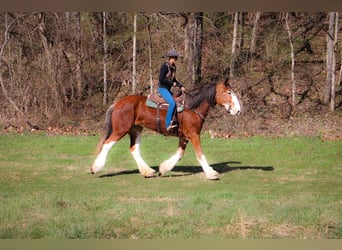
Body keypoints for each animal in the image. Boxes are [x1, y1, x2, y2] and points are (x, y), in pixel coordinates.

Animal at [89, 78, 242, 180]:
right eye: (229, 92)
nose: (238, 110)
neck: (192, 107)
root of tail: (117, 103)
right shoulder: (193, 135)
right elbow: (200, 154)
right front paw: (211, 173)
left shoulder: (184, 136)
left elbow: (179, 154)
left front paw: (163, 168)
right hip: (120, 130)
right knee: (107, 144)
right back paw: (95, 167)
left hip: (136, 130)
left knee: (134, 149)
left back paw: (148, 171)